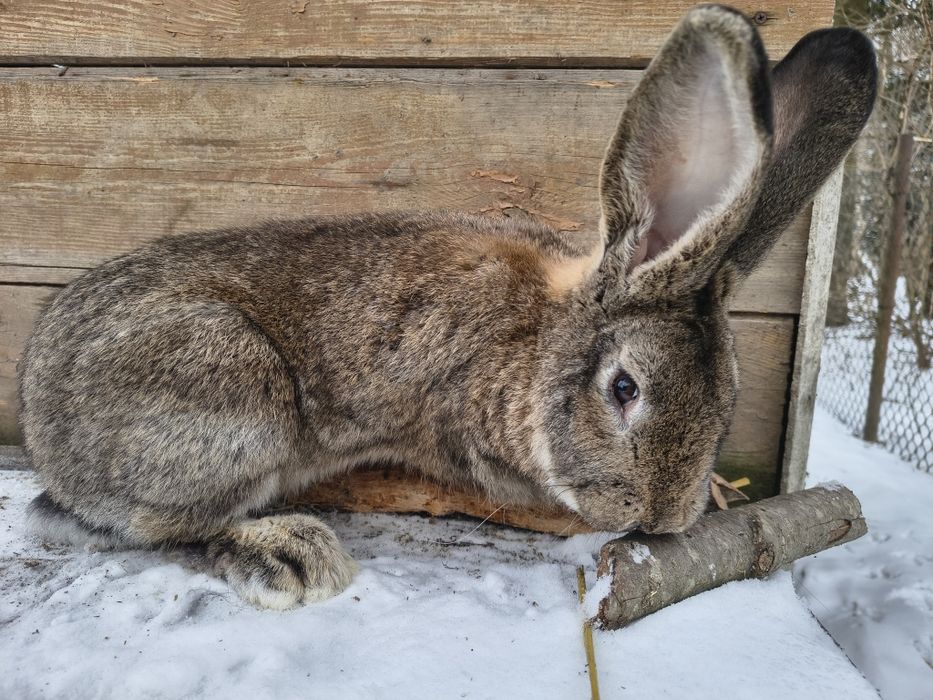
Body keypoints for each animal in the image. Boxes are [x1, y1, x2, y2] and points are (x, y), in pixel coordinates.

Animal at [17, 5, 876, 610]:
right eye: (624, 389)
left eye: (728, 401)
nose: (661, 517)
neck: (535, 339)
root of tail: (41, 428)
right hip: (237, 399)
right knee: (144, 526)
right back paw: (288, 552)